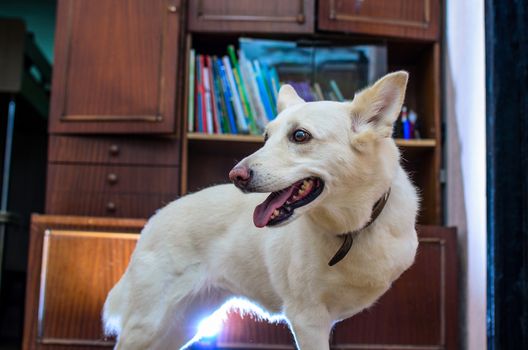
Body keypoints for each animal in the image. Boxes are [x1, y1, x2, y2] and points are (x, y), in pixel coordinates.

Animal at [102, 72, 416, 350]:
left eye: (300, 135)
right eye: (266, 137)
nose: (235, 175)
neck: (352, 228)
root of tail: (155, 219)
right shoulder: (307, 320)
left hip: (181, 325)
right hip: (147, 325)